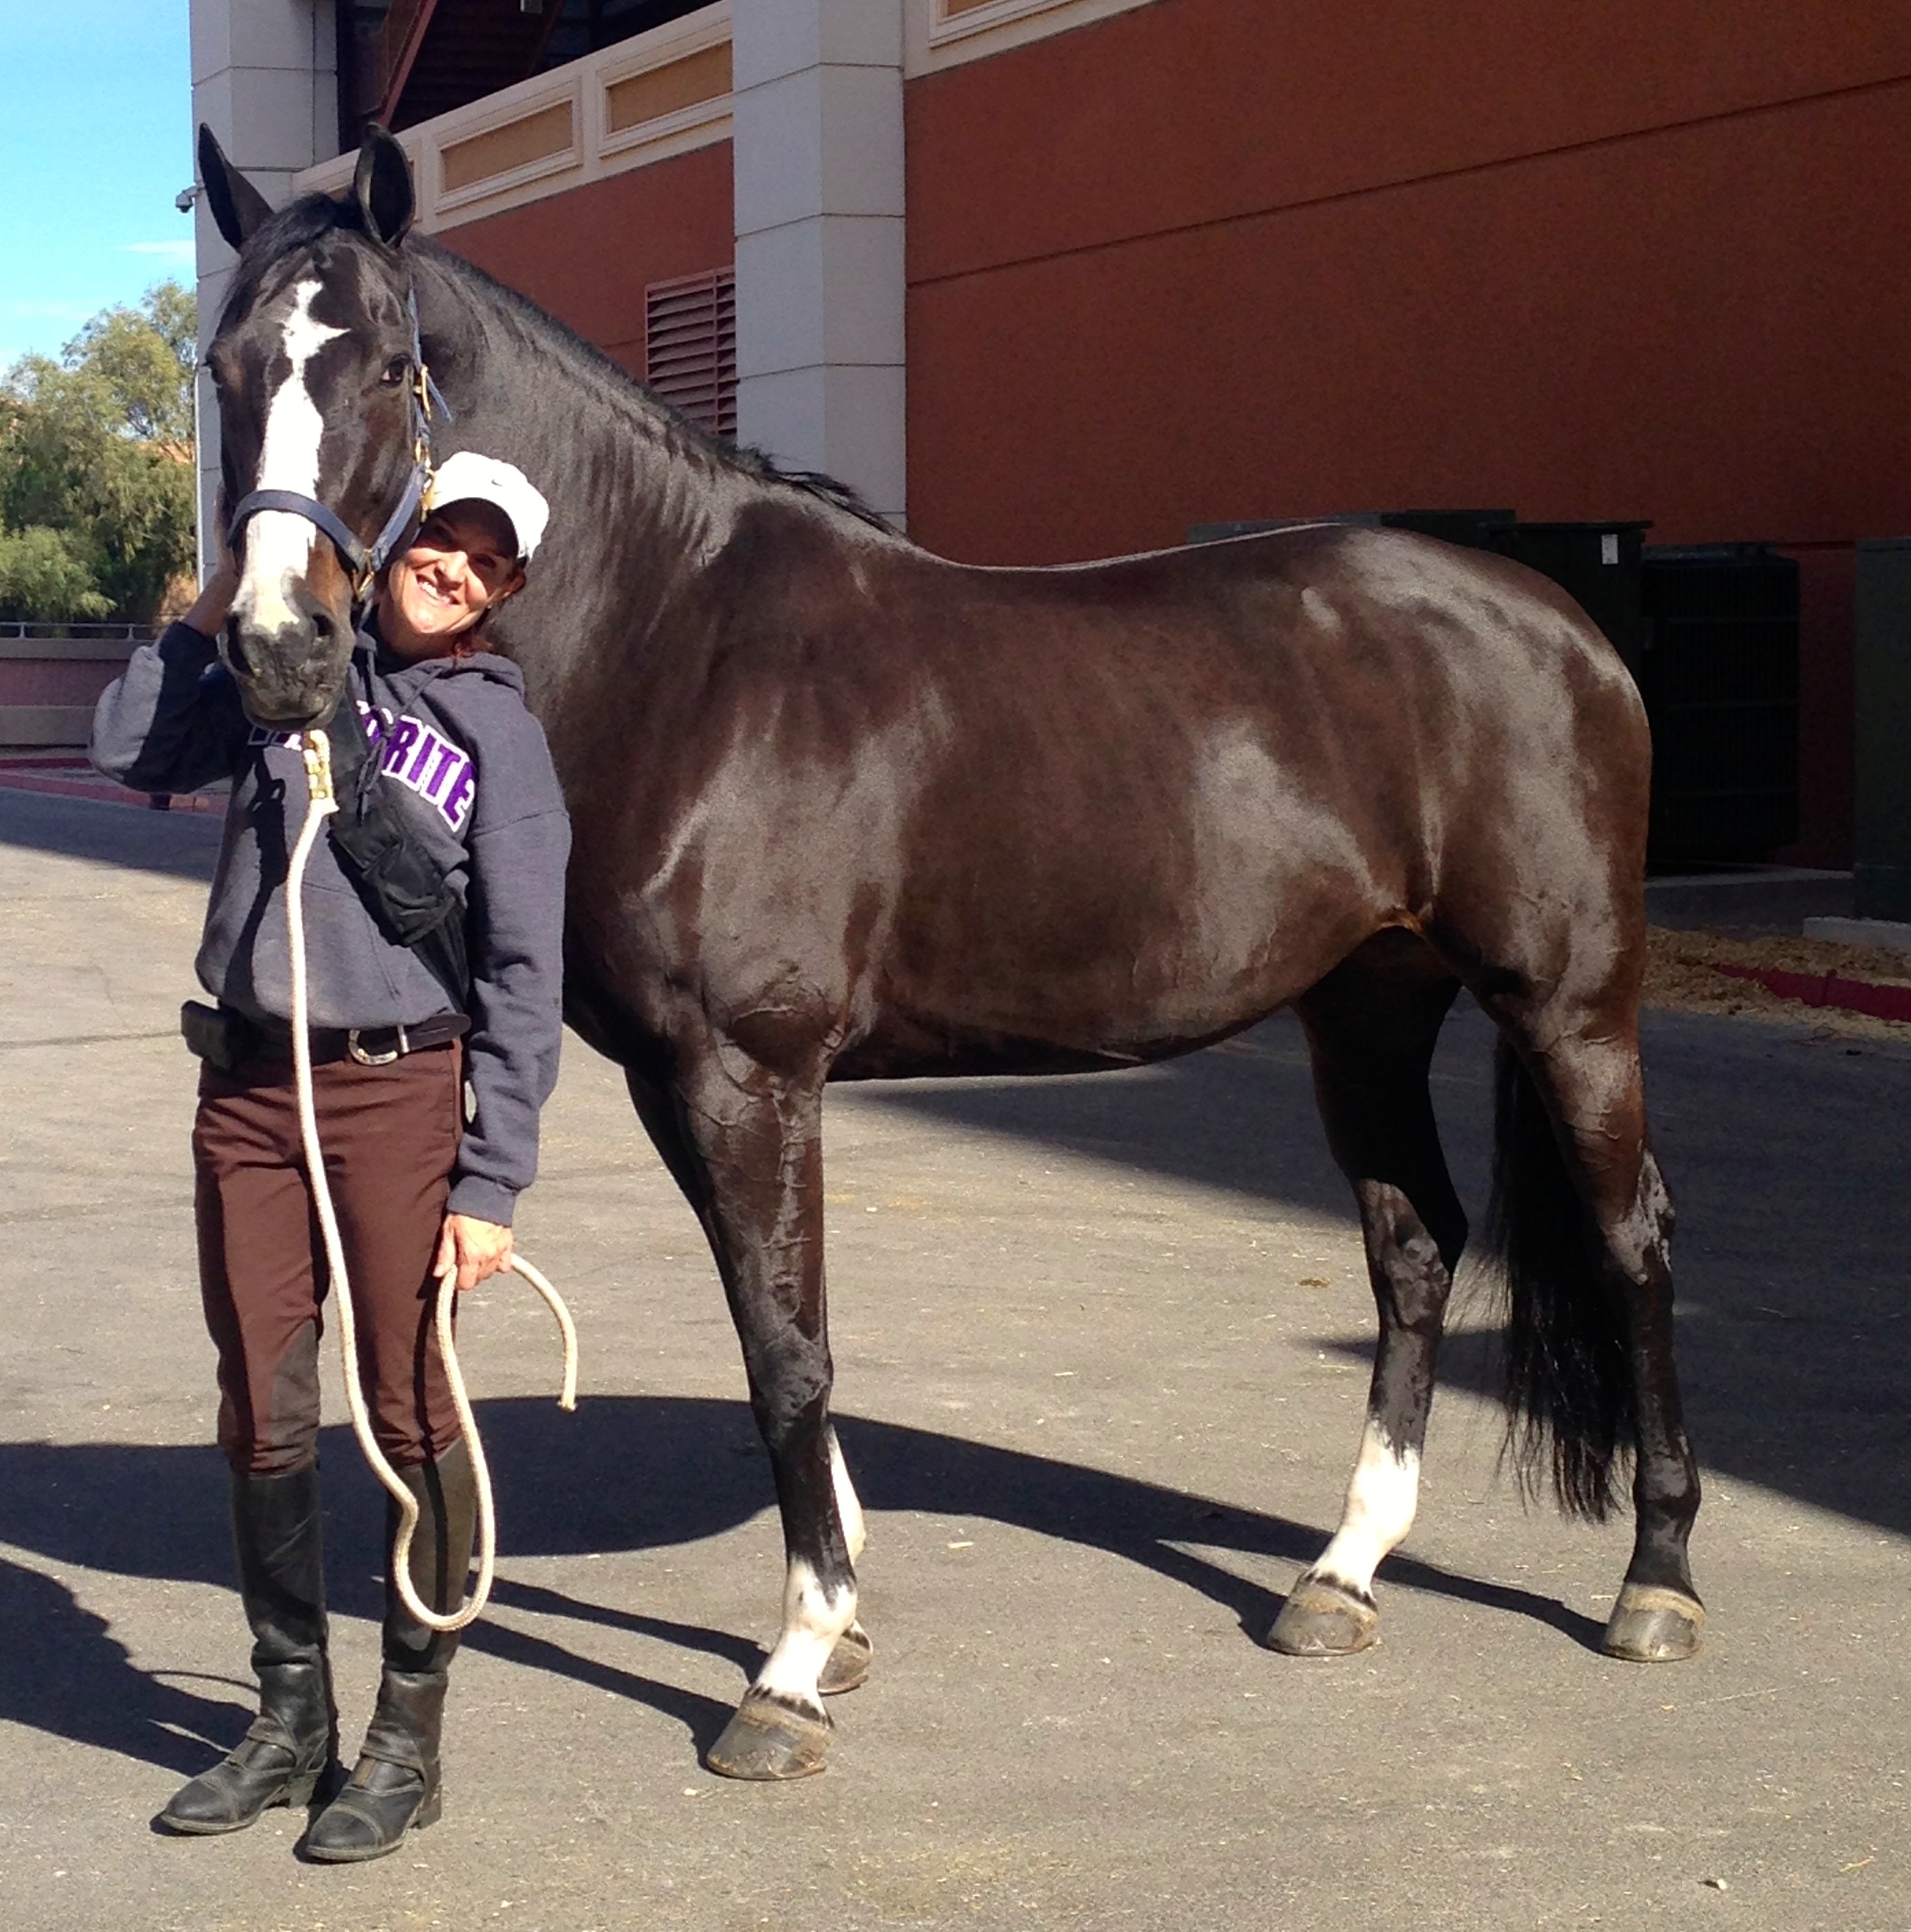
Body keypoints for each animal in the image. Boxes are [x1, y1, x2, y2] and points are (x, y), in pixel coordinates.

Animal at [190, 124, 1700, 1777]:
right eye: (223, 366)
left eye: (391, 365)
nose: (276, 646)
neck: (679, 647)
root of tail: (1560, 618)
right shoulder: (680, 1084)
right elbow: (771, 1324)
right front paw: (839, 1617)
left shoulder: (749, 1074)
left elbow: (789, 1346)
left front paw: (788, 1669)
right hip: (1363, 1007)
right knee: (1413, 1245)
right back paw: (1340, 1574)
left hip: (1567, 1004)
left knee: (1629, 1240)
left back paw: (1654, 1583)